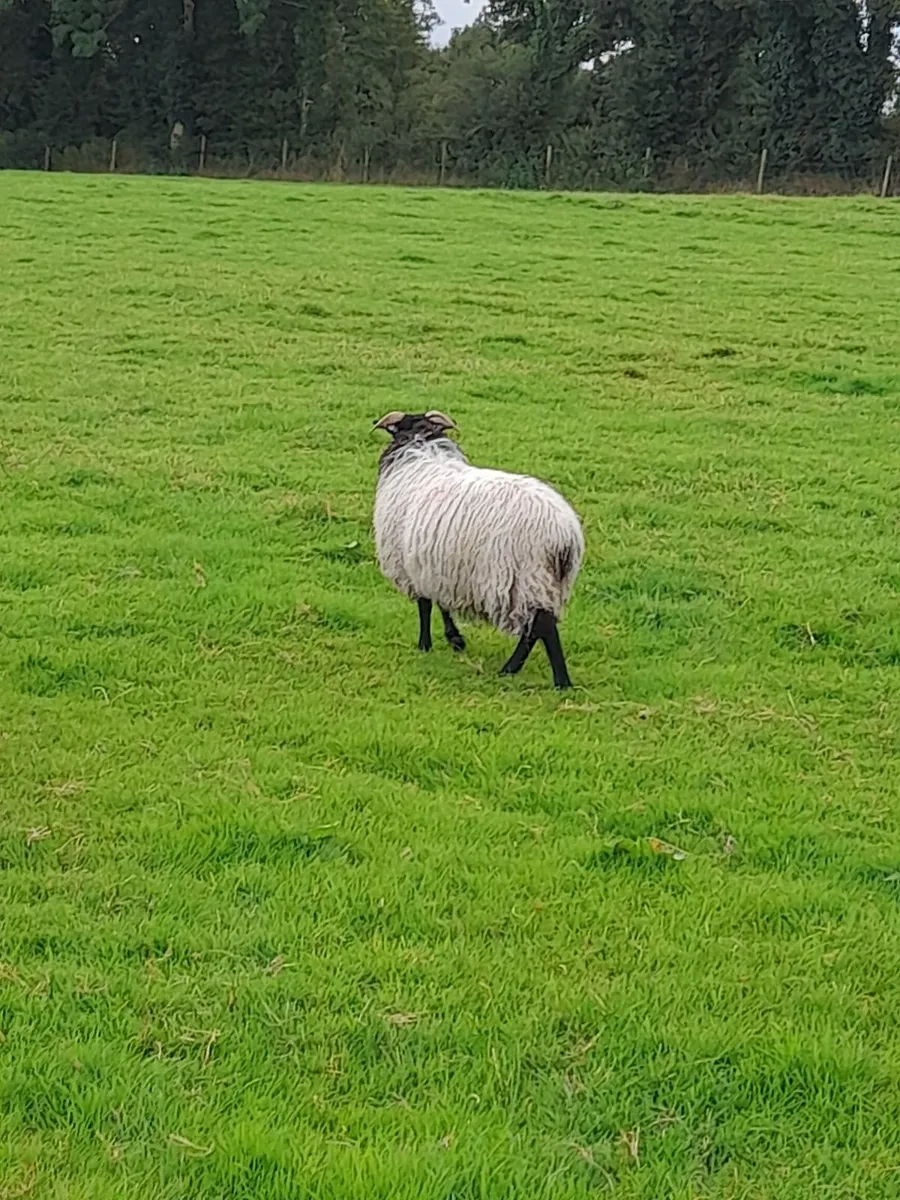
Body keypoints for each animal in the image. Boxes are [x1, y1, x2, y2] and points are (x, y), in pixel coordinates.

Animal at [372, 409, 584, 689]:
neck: (420, 446)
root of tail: (565, 535)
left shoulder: (414, 564)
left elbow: (426, 605)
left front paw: (426, 644)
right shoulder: (439, 564)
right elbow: (441, 603)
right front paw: (455, 640)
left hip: (526, 577)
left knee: (541, 626)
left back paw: (550, 678)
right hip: (548, 583)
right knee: (536, 628)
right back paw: (518, 671)